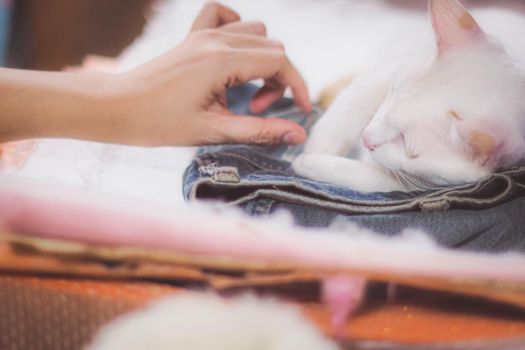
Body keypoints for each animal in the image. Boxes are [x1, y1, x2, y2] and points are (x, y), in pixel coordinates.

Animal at [290, 0, 524, 193]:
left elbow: (375, 180)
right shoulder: (387, 69)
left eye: (405, 143)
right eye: (394, 91)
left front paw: (311, 162)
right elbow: (356, 98)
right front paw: (320, 144)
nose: (365, 138)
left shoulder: (422, 184)